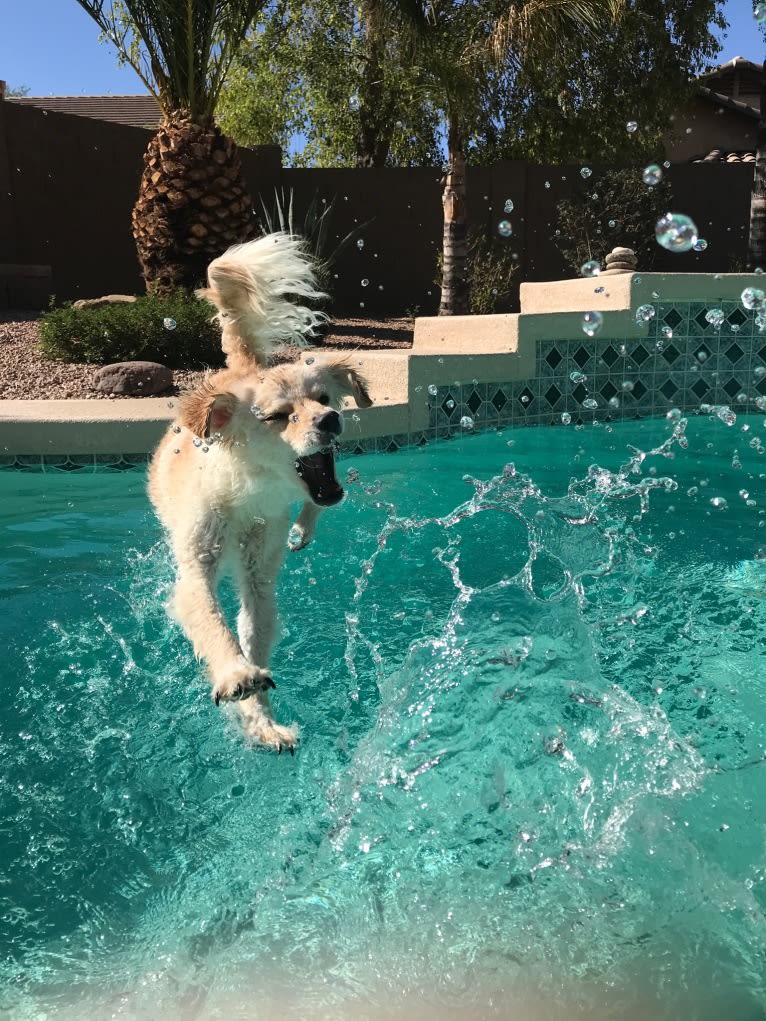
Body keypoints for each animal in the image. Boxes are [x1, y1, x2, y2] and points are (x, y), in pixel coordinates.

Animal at [148, 234, 373, 755]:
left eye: (324, 400)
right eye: (276, 417)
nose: (331, 420)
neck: (247, 492)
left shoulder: (259, 572)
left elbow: (254, 626)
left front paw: (261, 718)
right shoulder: (196, 566)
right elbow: (213, 621)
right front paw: (238, 676)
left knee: (320, 503)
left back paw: (305, 526)